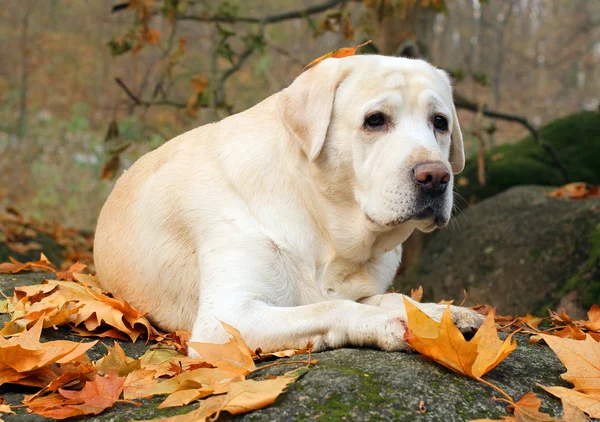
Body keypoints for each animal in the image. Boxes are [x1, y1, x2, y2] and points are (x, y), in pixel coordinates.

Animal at [96, 56, 486, 352]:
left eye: (440, 123)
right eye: (375, 120)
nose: (436, 176)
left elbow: (391, 298)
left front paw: (440, 312)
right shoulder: (226, 319)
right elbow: (329, 308)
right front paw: (389, 322)